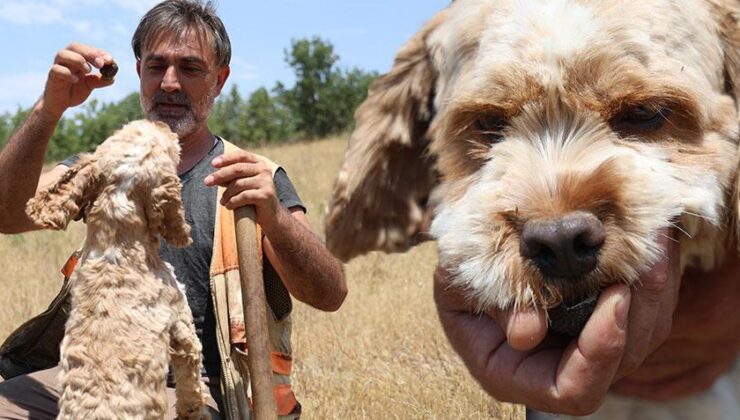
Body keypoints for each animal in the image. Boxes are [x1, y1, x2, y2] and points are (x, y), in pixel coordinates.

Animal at [26, 120, 208, 418]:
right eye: (162, 142)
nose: (162, 122)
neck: (116, 240)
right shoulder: (182, 325)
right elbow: (191, 383)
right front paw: (194, 409)